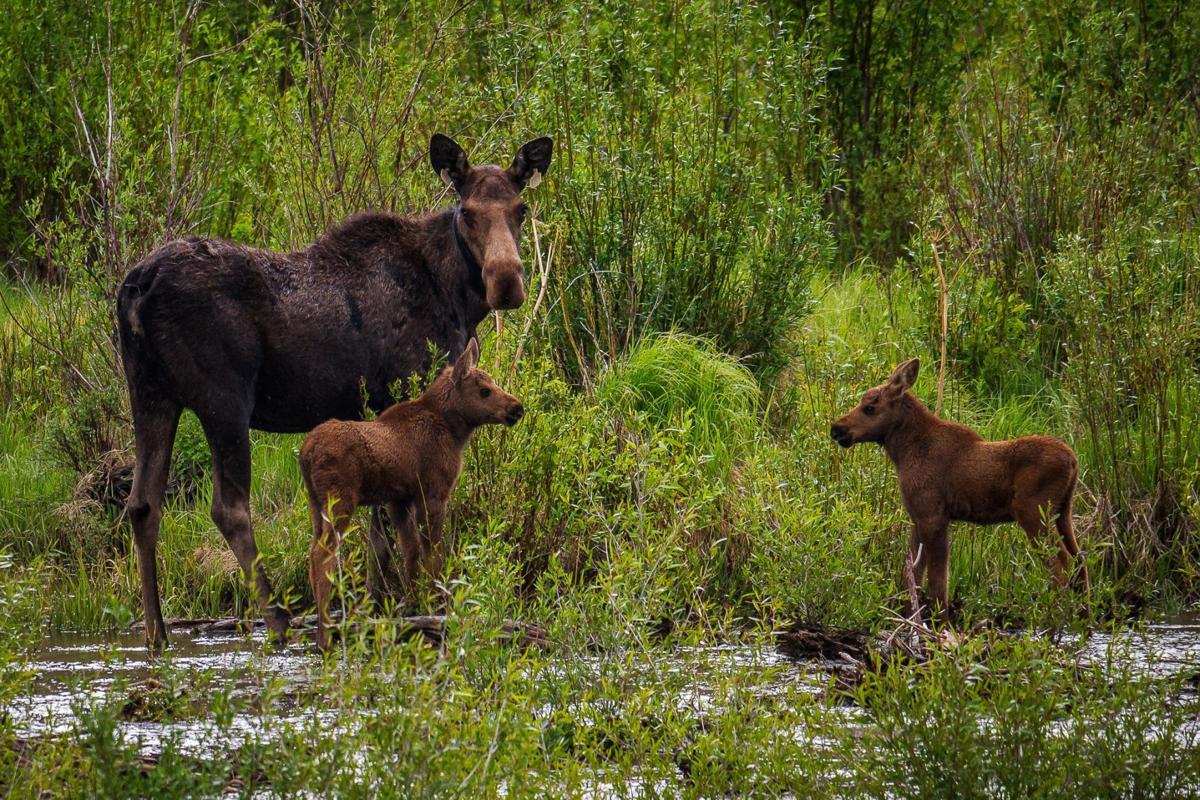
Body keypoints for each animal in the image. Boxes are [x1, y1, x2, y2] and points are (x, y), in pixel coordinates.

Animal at [298, 339, 524, 650]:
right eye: (484, 390)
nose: (517, 408)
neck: (455, 431)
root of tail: (305, 454)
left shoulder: (399, 499)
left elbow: (411, 554)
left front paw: (414, 606)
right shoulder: (434, 493)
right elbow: (435, 555)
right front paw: (439, 605)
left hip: (315, 503)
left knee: (312, 553)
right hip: (340, 501)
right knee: (324, 555)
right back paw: (325, 634)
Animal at [830, 358, 1089, 622]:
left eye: (870, 407)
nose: (837, 429)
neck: (903, 451)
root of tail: (1073, 460)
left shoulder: (933, 516)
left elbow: (937, 579)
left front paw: (940, 622)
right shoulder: (917, 517)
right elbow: (912, 574)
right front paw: (910, 617)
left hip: (1033, 513)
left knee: (1061, 561)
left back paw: (1055, 616)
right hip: (1064, 513)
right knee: (1080, 560)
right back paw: (1083, 617)